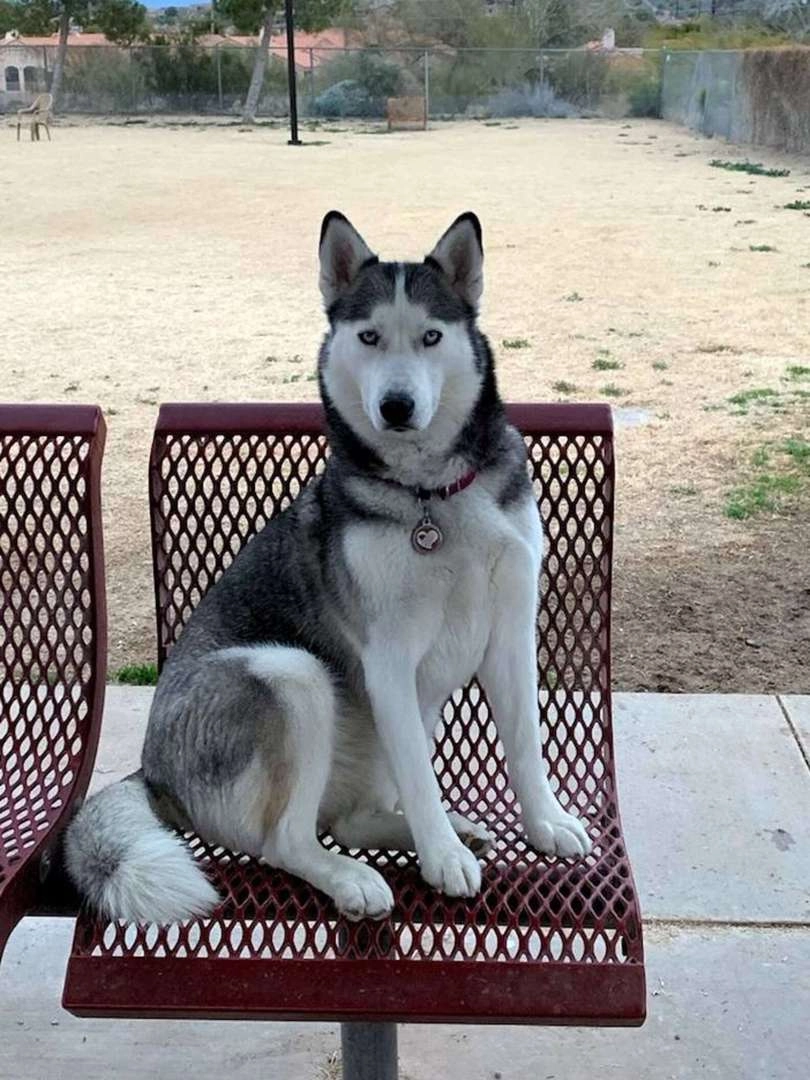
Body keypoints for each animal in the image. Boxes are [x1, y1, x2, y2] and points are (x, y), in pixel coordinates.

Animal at [65, 211, 592, 924]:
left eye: (431, 336)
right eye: (369, 337)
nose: (396, 405)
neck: (431, 497)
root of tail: (153, 773)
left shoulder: (509, 632)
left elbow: (527, 747)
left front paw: (544, 824)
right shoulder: (388, 658)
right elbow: (421, 780)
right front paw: (443, 858)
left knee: (347, 819)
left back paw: (430, 830)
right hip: (292, 674)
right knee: (287, 840)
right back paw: (354, 876)